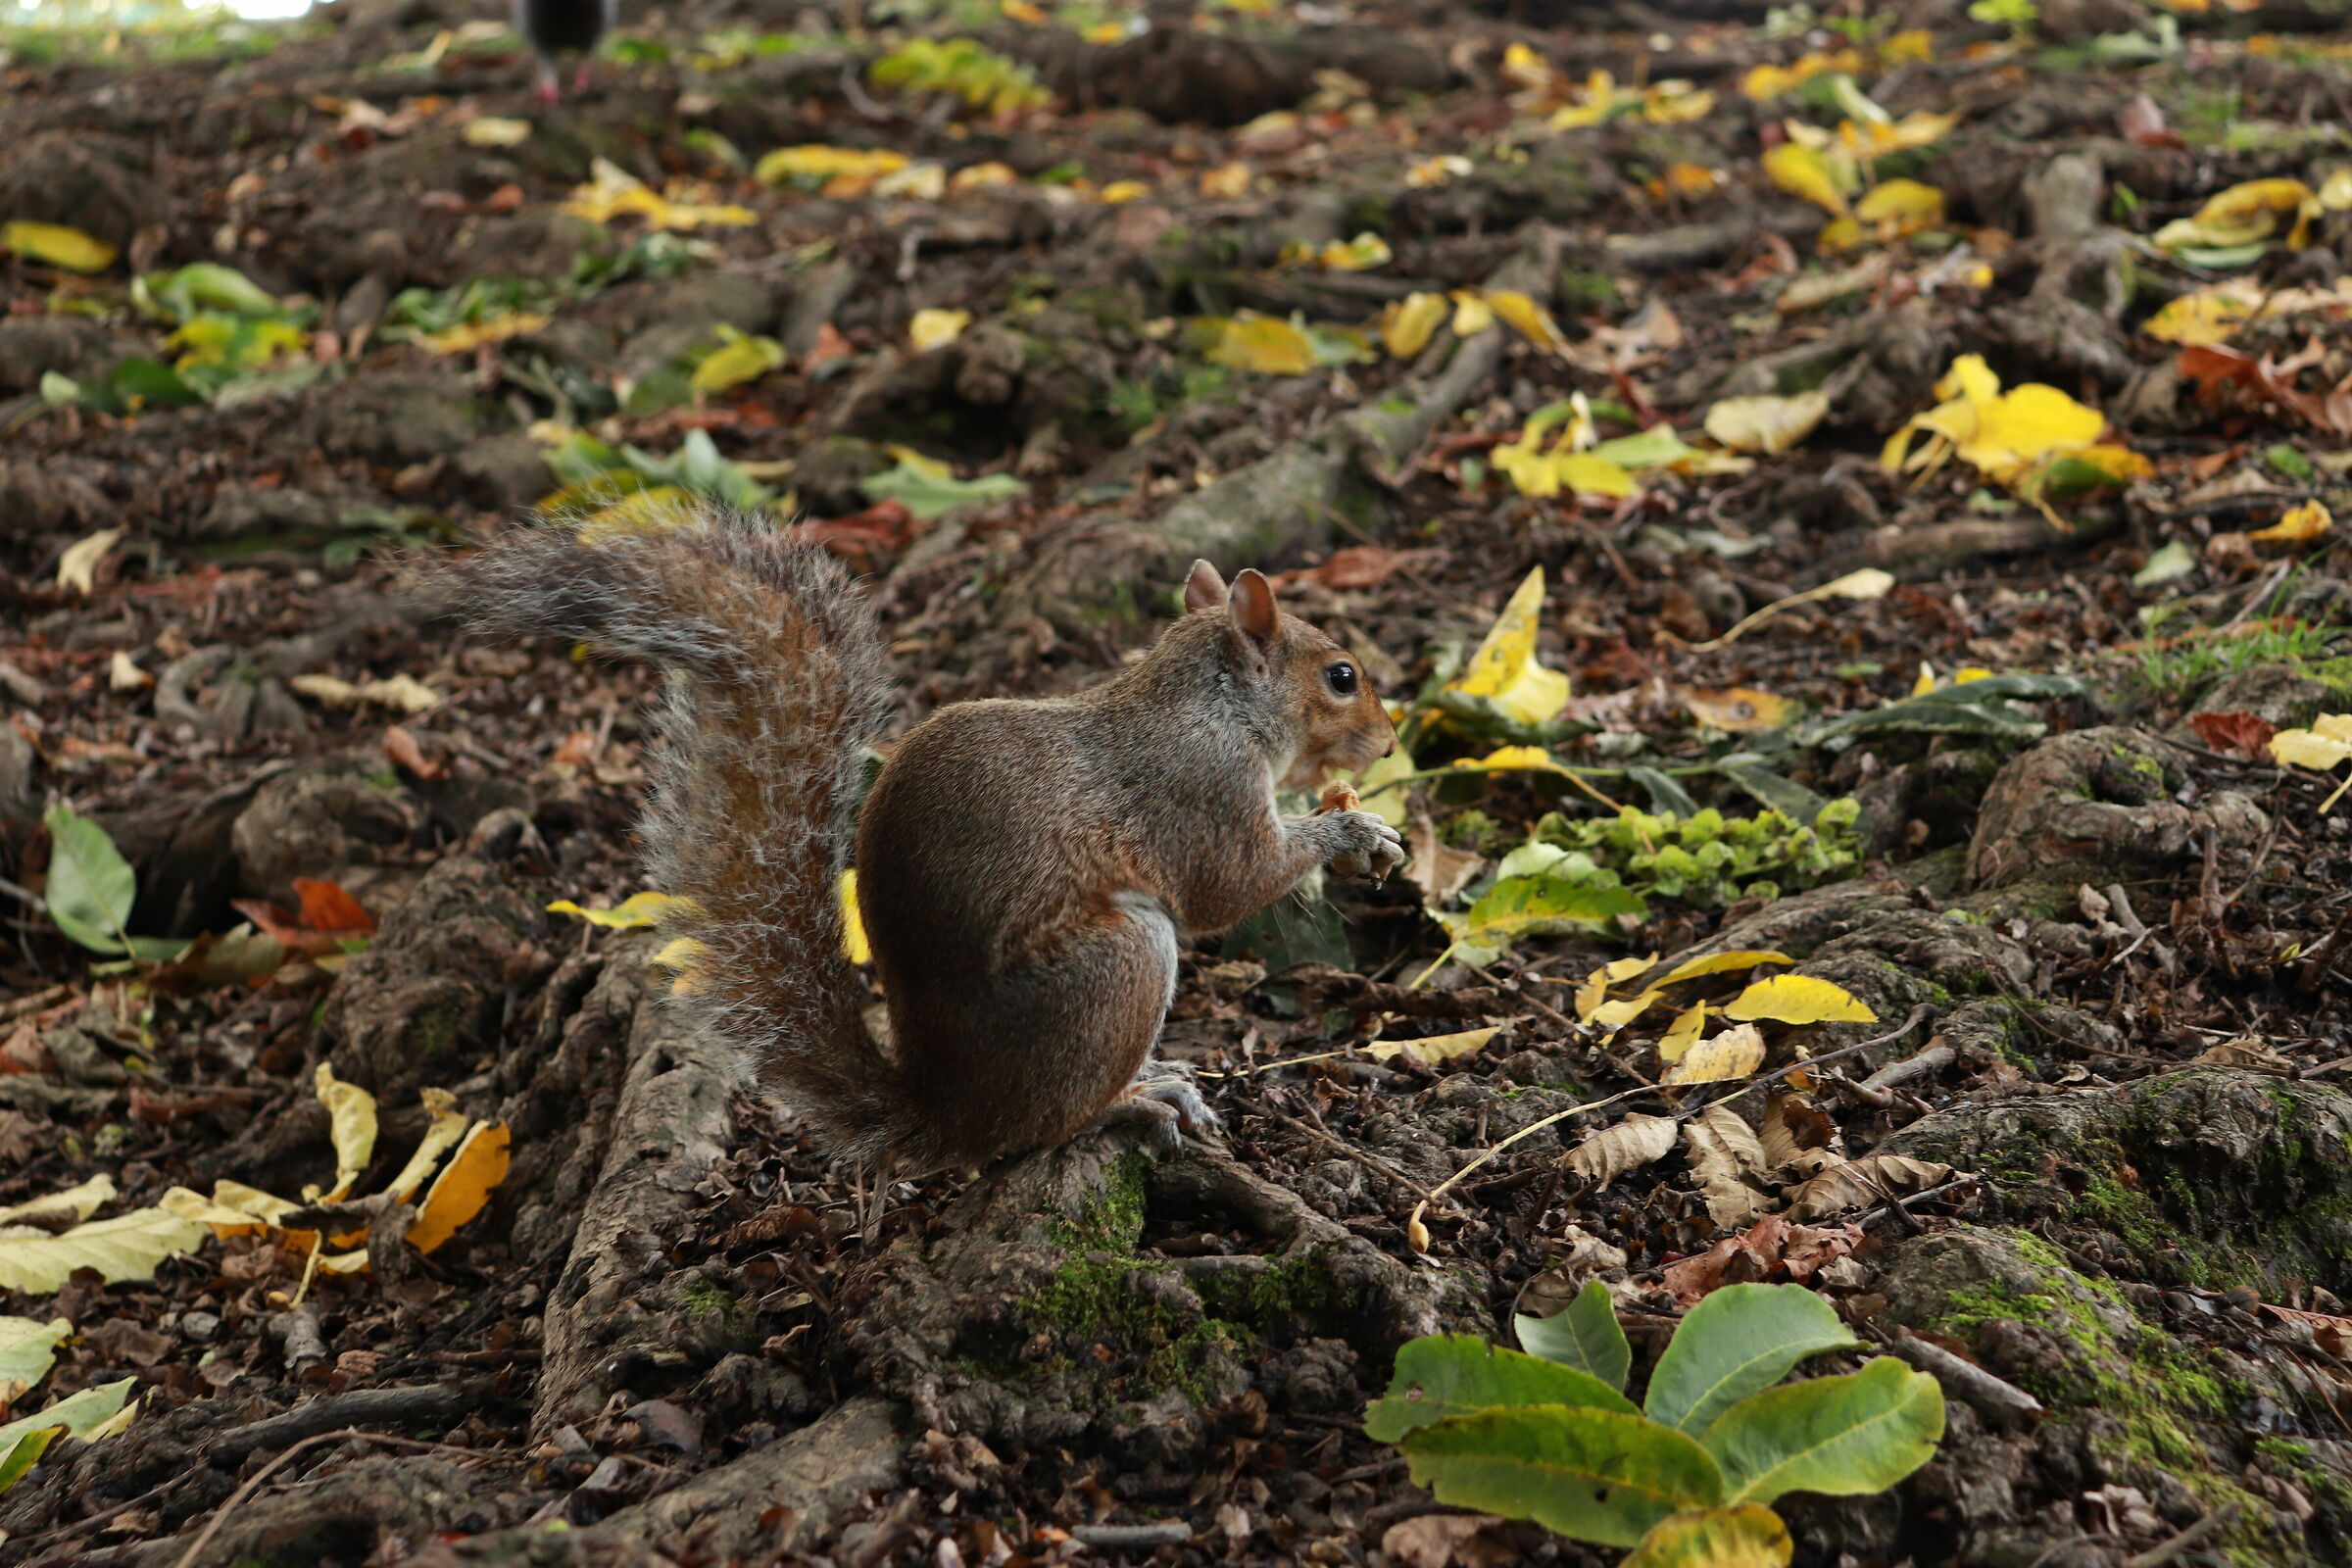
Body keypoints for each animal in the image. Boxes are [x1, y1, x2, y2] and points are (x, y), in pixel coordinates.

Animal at [461, 508, 1405, 1172]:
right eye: (1341, 677)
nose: (1392, 742)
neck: (1211, 703)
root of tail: (947, 1110)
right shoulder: (1203, 792)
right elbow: (1230, 887)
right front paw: (1351, 828)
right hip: (1122, 963)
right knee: (1043, 1127)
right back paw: (1138, 1099)